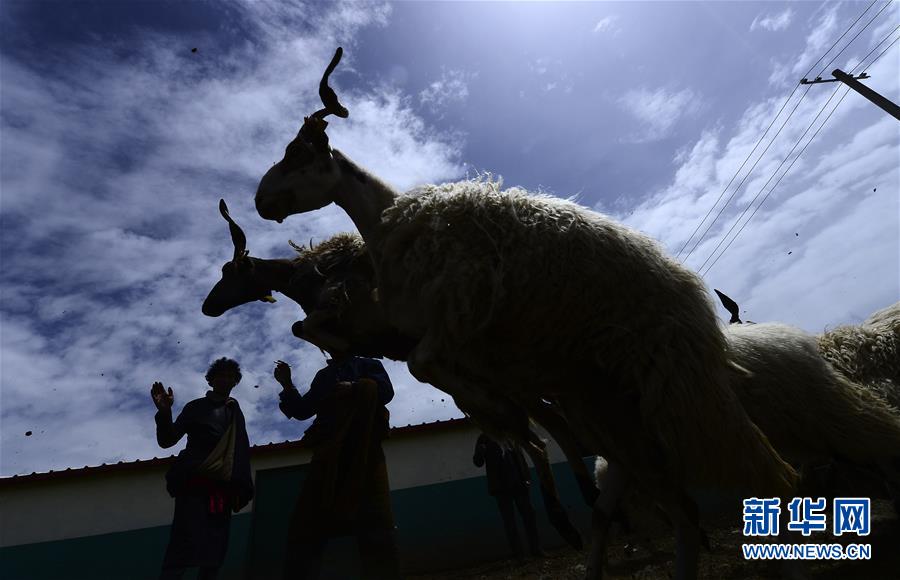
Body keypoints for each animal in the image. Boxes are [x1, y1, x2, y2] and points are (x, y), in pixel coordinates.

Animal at [206, 199, 596, 548]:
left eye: (229, 271)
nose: (207, 307)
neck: (309, 275)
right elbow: (312, 336)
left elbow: (306, 327)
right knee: (549, 428)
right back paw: (576, 511)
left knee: (542, 431)